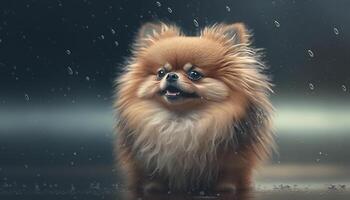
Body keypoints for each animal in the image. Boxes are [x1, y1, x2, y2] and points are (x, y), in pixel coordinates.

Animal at [113, 22, 274, 195]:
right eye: (161, 72)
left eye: (194, 74)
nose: (171, 75)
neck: (181, 119)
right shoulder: (144, 161)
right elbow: (150, 176)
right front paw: (152, 188)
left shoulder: (234, 160)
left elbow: (229, 177)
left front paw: (226, 189)